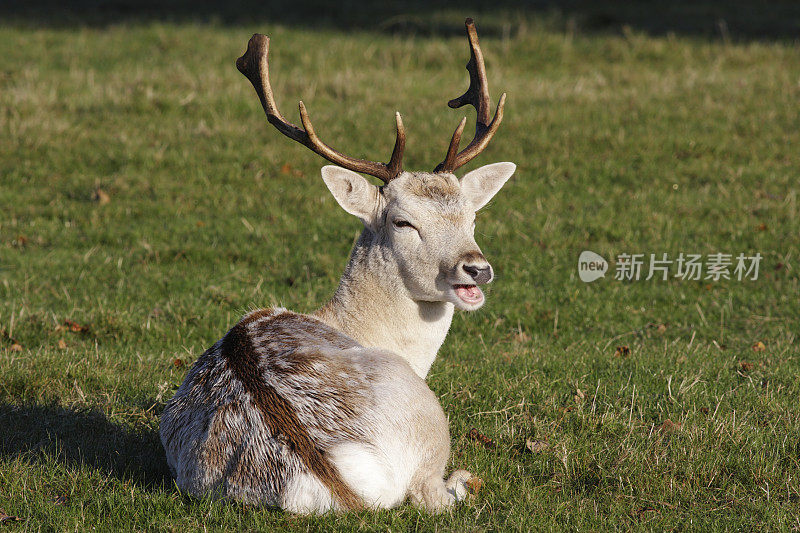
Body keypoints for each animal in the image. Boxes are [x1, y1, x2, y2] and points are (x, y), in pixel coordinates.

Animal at [159, 18, 516, 512]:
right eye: (402, 221)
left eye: (472, 215)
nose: (476, 268)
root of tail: (339, 478)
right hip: (428, 416)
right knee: (434, 495)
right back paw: (465, 480)